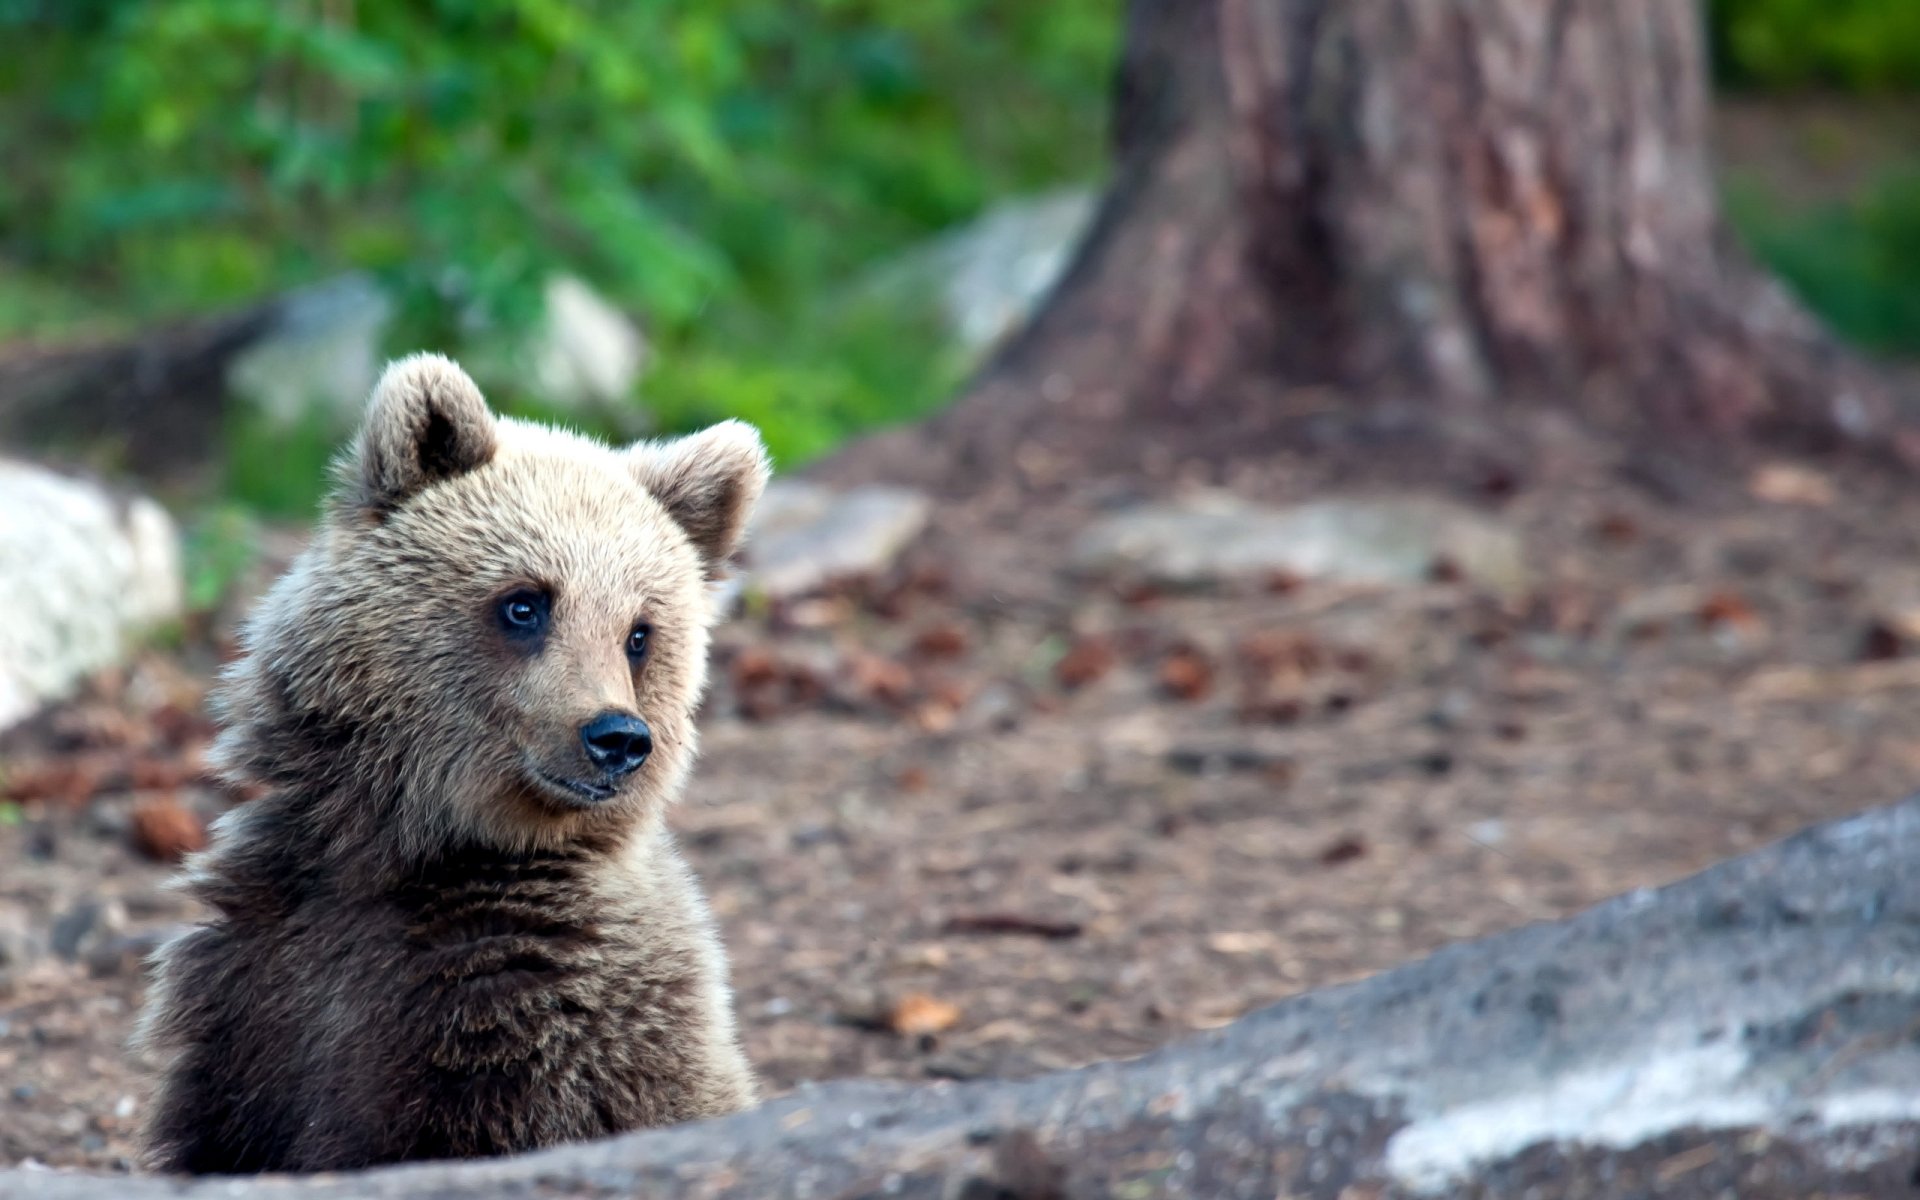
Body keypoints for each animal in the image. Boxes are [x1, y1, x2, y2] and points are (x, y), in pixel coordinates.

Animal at [135, 353, 766, 1174]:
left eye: (639, 631)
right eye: (526, 602)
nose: (617, 738)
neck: (413, 846)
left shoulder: (520, 1030)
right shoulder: (266, 985)